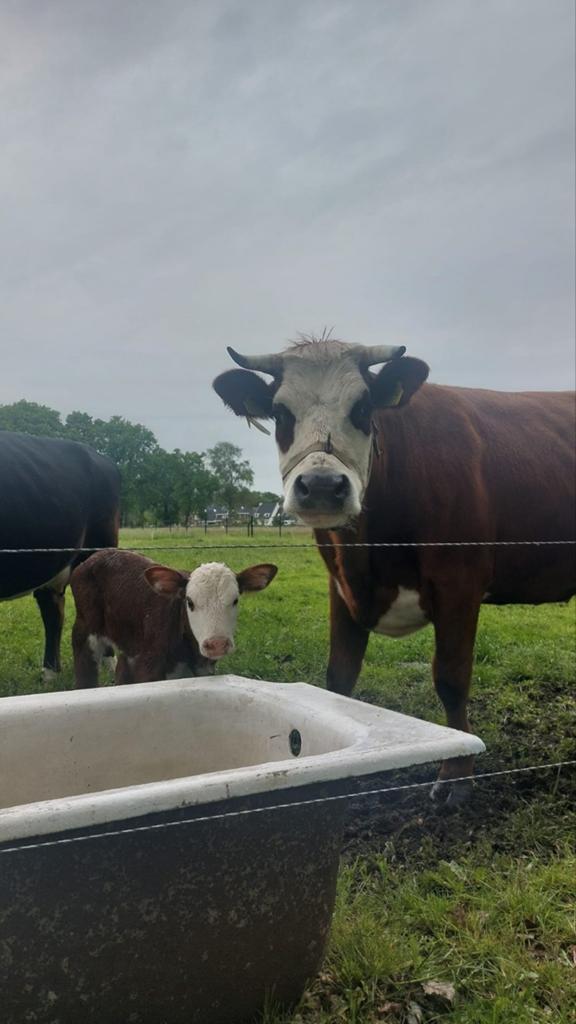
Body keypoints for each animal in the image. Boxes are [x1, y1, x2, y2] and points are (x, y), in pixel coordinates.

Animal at [70, 548, 278, 687]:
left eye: (235, 600)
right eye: (190, 602)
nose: (217, 644)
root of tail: (96, 556)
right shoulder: (148, 667)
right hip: (84, 630)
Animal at [213, 337, 576, 803]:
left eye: (364, 408)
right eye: (280, 412)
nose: (323, 487)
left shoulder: (459, 582)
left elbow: (451, 678)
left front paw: (456, 774)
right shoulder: (341, 586)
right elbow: (339, 675)